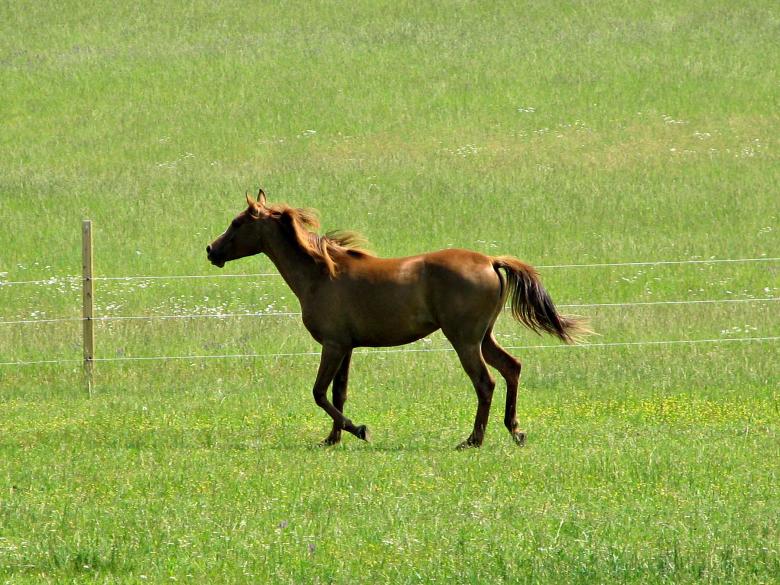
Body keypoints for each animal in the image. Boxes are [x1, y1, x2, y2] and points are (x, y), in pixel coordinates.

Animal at [206, 189, 591, 449]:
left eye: (237, 222)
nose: (211, 250)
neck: (322, 273)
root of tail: (490, 261)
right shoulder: (347, 347)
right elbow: (339, 393)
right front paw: (333, 439)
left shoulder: (332, 345)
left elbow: (318, 392)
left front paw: (358, 430)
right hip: (484, 337)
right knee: (512, 368)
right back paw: (515, 430)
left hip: (464, 340)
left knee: (485, 383)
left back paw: (473, 439)